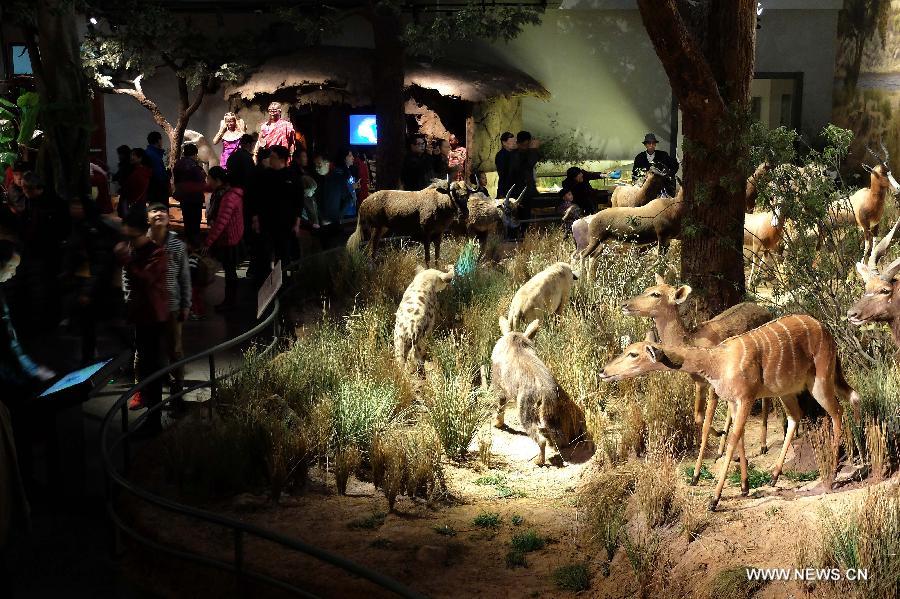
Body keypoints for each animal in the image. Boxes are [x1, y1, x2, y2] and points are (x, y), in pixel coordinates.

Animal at [600, 314, 860, 510]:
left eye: (634, 354)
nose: (603, 371)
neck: (717, 362)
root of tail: (826, 331)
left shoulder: (745, 398)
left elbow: (733, 438)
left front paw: (714, 499)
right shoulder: (734, 403)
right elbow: (740, 436)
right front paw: (745, 487)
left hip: (821, 381)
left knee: (838, 412)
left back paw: (832, 474)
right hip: (787, 390)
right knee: (799, 415)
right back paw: (775, 475)